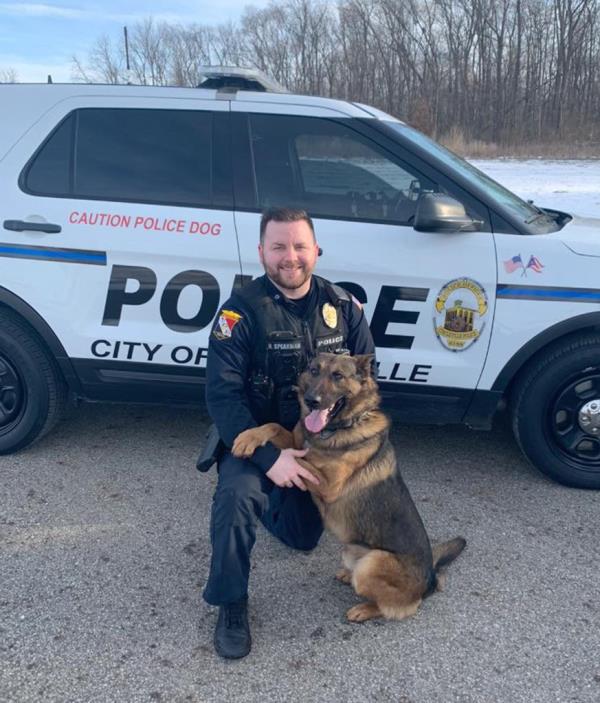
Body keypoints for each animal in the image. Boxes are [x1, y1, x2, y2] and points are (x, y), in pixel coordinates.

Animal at [232, 354, 466, 624]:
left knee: (395, 606)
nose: (311, 400)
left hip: (372, 564)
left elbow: (298, 461)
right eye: (314, 371)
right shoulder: (296, 441)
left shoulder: (327, 483)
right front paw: (248, 437)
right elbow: (274, 426)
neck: (336, 428)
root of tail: (430, 579)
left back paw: (364, 608)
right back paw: (347, 575)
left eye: (338, 376)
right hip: (353, 552)